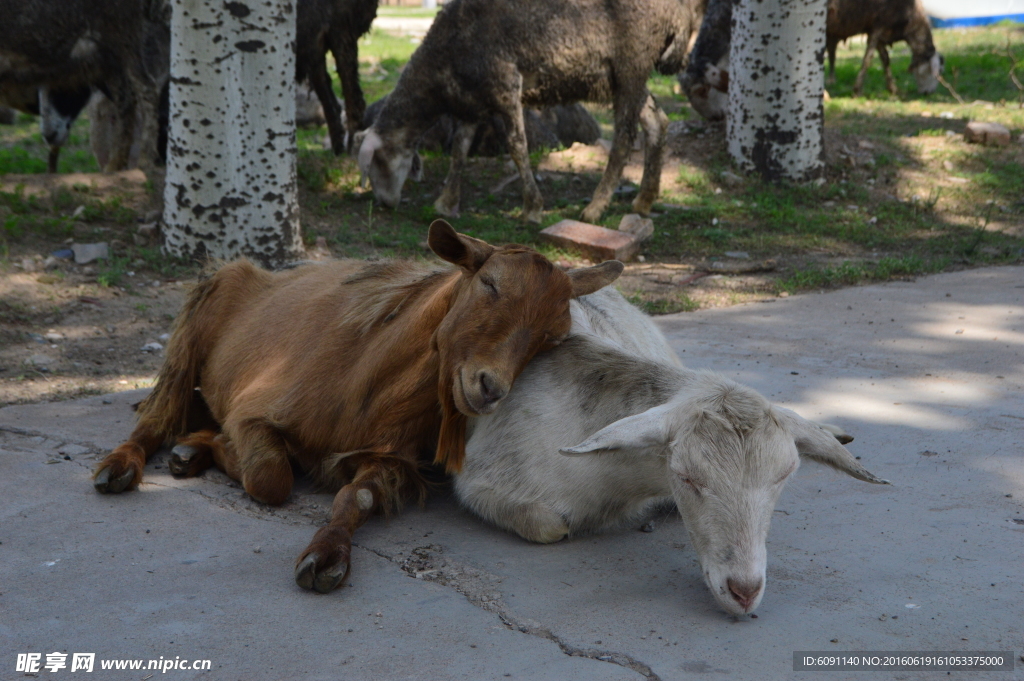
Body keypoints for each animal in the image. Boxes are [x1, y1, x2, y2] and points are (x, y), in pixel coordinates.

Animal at [96, 220, 618, 593]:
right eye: (489, 284)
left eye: (554, 335)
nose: (490, 387)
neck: (366, 378)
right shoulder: (253, 411)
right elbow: (271, 478)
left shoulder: (389, 458)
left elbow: (356, 498)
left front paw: (326, 556)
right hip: (195, 325)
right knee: (157, 417)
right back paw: (120, 467)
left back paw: (190, 451)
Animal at [358, 0, 704, 220]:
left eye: (377, 161)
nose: (384, 204)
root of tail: (682, 10)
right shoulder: (471, 103)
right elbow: (459, 150)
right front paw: (446, 202)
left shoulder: (506, 84)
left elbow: (517, 147)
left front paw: (532, 208)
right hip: (622, 77)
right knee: (657, 121)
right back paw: (644, 200)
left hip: (633, 61)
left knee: (623, 136)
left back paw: (595, 207)